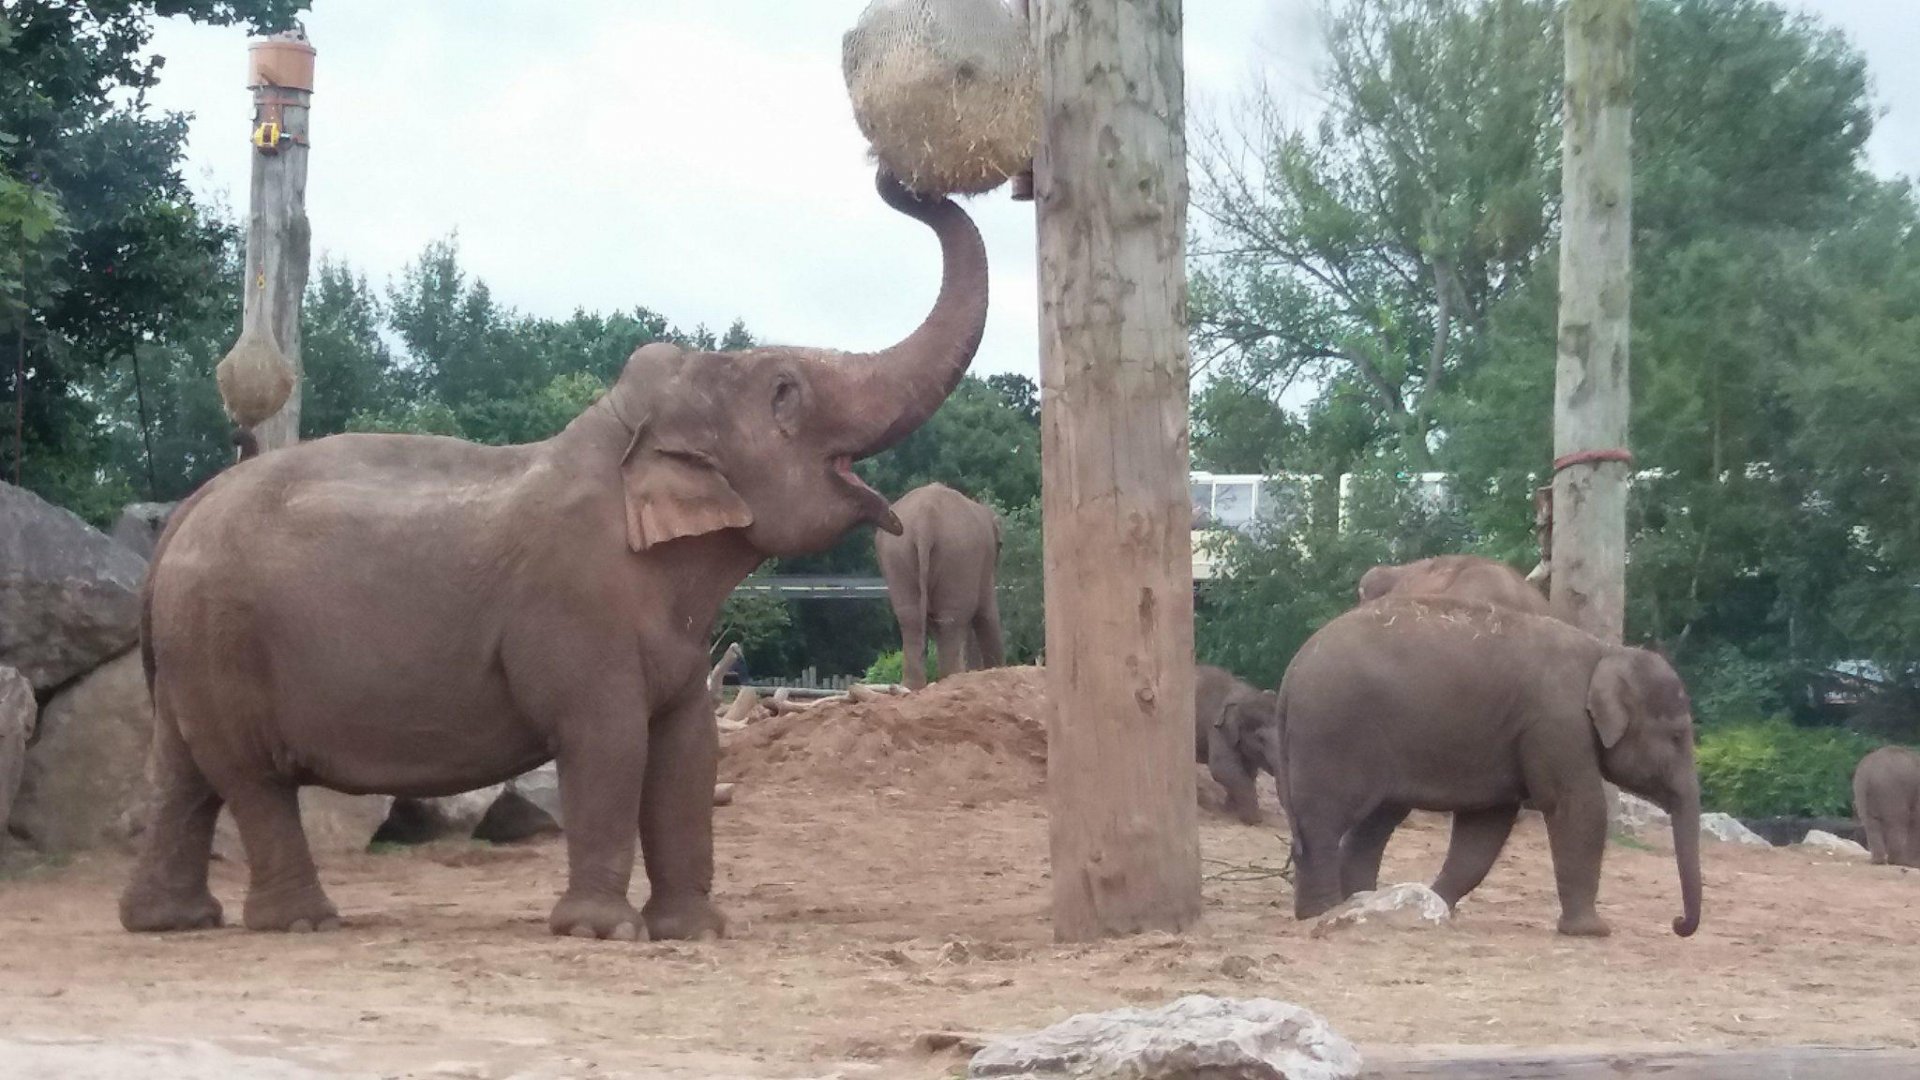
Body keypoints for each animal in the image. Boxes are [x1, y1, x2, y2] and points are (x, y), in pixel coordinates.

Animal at [118, 169, 989, 941]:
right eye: (788, 392)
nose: (896, 175)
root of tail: (181, 518)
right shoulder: (577, 606)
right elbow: (608, 743)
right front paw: (603, 932)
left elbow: (687, 751)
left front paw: (693, 934)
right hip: (223, 644)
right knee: (251, 779)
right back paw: (301, 921)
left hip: (192, 657)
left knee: (181, 773)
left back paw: (170, 921)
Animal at [874, 482, 1003, 690]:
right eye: (1001, 545)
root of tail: (925, 519)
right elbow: (986, 614)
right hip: (959, 555)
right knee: (951, 621)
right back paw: (951, 678)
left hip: (897, 555)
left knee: (911, 619)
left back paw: (914, 686)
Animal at [1195, 663, 1278, 825]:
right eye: (1261, 738)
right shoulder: (1218, 729)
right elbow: (1222, 768)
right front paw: (1254, 820)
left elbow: (1248, 772)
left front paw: (1229, 810)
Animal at [1277, 596, 1703, 938]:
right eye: (1678, 735)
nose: (1677, 924)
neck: (1607, 651)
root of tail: (1291, 671)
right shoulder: (1557, 723)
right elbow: (1577, 806)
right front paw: (1592, 931)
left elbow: (1486, 826)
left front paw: (1437, 905)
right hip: (1333, 733)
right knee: (1323, 822)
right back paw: (1322, 911)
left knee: (1372, 824)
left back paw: (1361, 901)